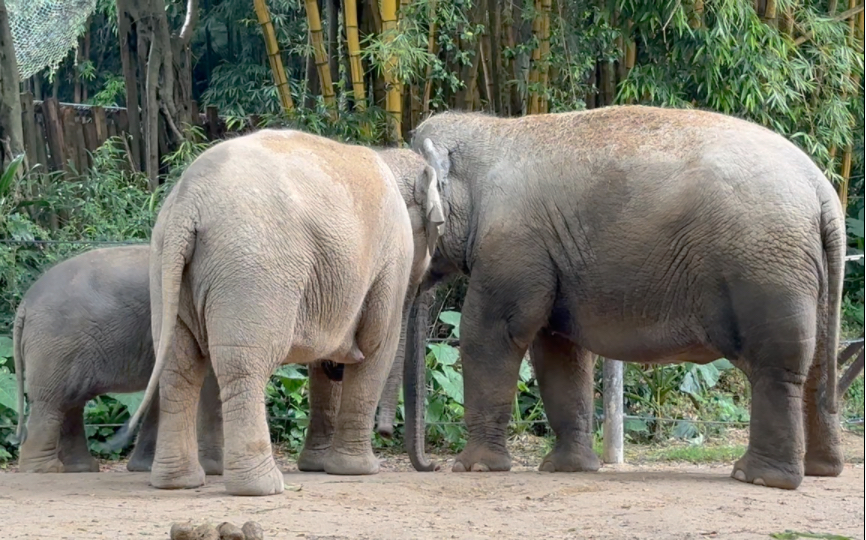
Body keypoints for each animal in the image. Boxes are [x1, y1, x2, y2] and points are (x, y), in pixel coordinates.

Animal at [13, 245, 223, 472]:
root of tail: (24, 304)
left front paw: (143, 467)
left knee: (70, 401)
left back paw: (81, 468)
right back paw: (45, 470)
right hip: (56, 343)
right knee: (51, 401)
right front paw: (213, 470)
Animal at [109, 129, 442, 496]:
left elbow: (325, 359)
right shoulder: (391, 256)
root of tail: (187, 204)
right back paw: (261, 486)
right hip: (253, 268)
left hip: (167, 267)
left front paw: (317, 466)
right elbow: (377, 346)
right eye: (436, 231)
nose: (434, 466)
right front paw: (359, 470)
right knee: (241, 364)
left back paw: (179, 482)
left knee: (179, 365)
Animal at [404, 104, 844, 490]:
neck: (488, 135)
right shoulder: (550, 255)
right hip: (807, 272)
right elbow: (559, 351)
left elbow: (491, 335)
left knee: (777, 367)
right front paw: (568, 469)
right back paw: (821, 470)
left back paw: (759, 478)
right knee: (819, 365)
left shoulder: (512, 245)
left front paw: (474, 467)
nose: (431, 466)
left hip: (765, 267)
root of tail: (822, 190)